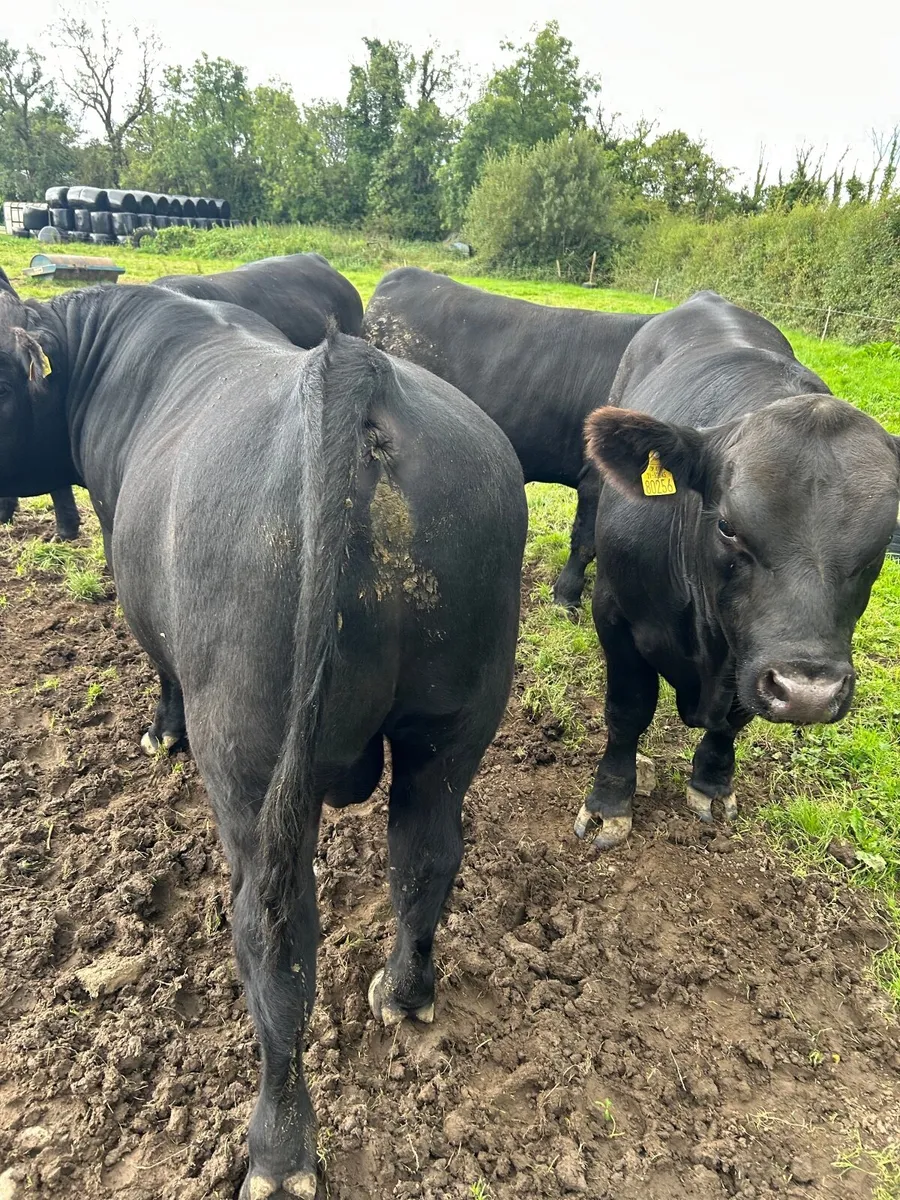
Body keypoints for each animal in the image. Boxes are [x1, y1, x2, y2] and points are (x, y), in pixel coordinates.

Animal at [573, 291, 900, 850]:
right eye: (727, 525)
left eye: (882, 543)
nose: (809, 692)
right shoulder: (614, 613)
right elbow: (627, 709)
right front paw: (609, 802)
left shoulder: (752, 657)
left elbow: (734, 719)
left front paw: (712, 782)